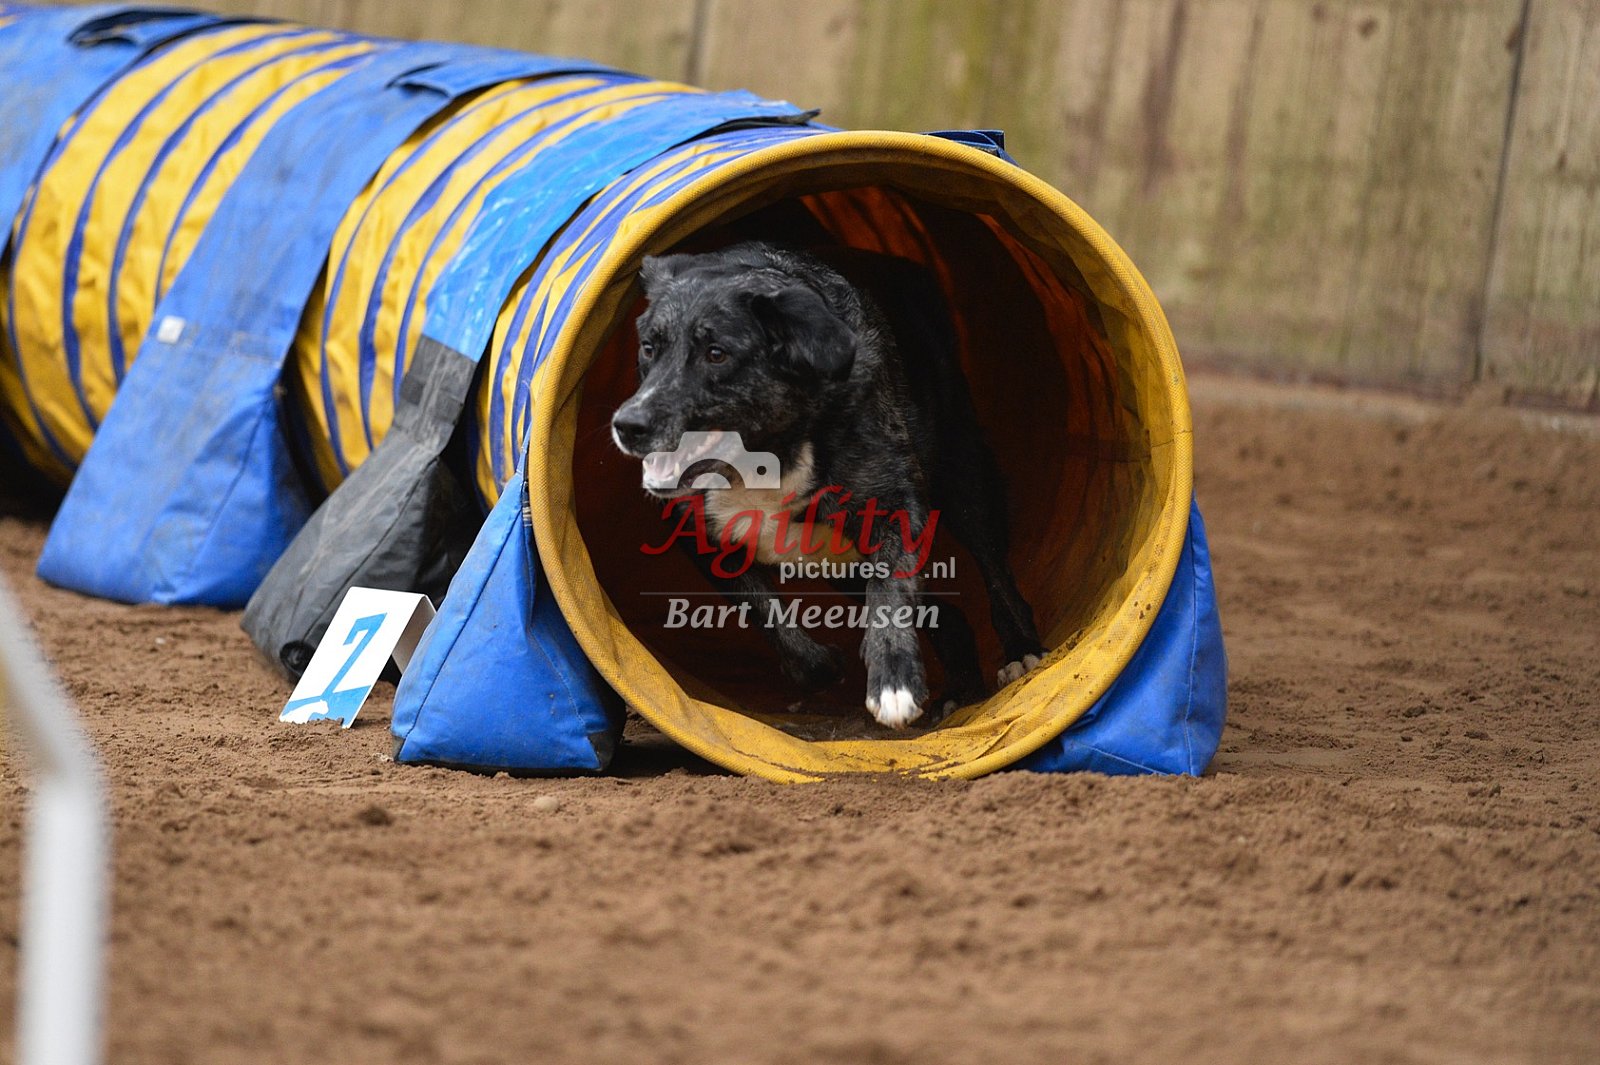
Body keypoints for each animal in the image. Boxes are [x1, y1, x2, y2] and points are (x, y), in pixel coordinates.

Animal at [611, 241, 1044, 728]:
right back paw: (960, 691)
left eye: (717, 353)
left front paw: (894, 681)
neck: (767, 451)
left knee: (996, 571)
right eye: (649, 348)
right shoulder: (701, 534)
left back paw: (1021, 651)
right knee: (949, 615)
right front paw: (825, 666)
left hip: (963, 473)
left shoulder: (894, 504)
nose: (628, 425)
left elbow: (890, 594)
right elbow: (764, 612)